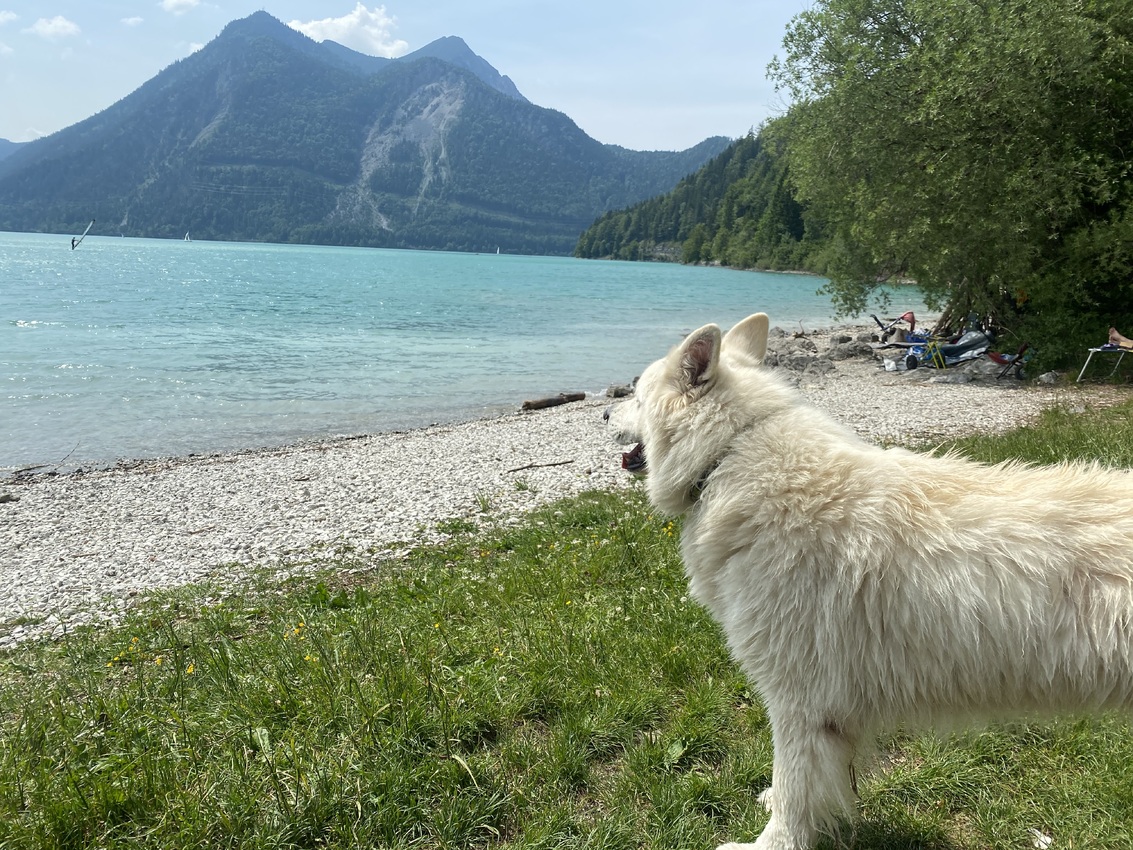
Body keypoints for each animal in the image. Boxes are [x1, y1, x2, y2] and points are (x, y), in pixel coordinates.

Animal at [607, 312, 1133, 850]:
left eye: (635, 396)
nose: (604, 415)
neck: (727, 457)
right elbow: (807, 785)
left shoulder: (798, 702)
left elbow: (793, 787)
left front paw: (772, 843)